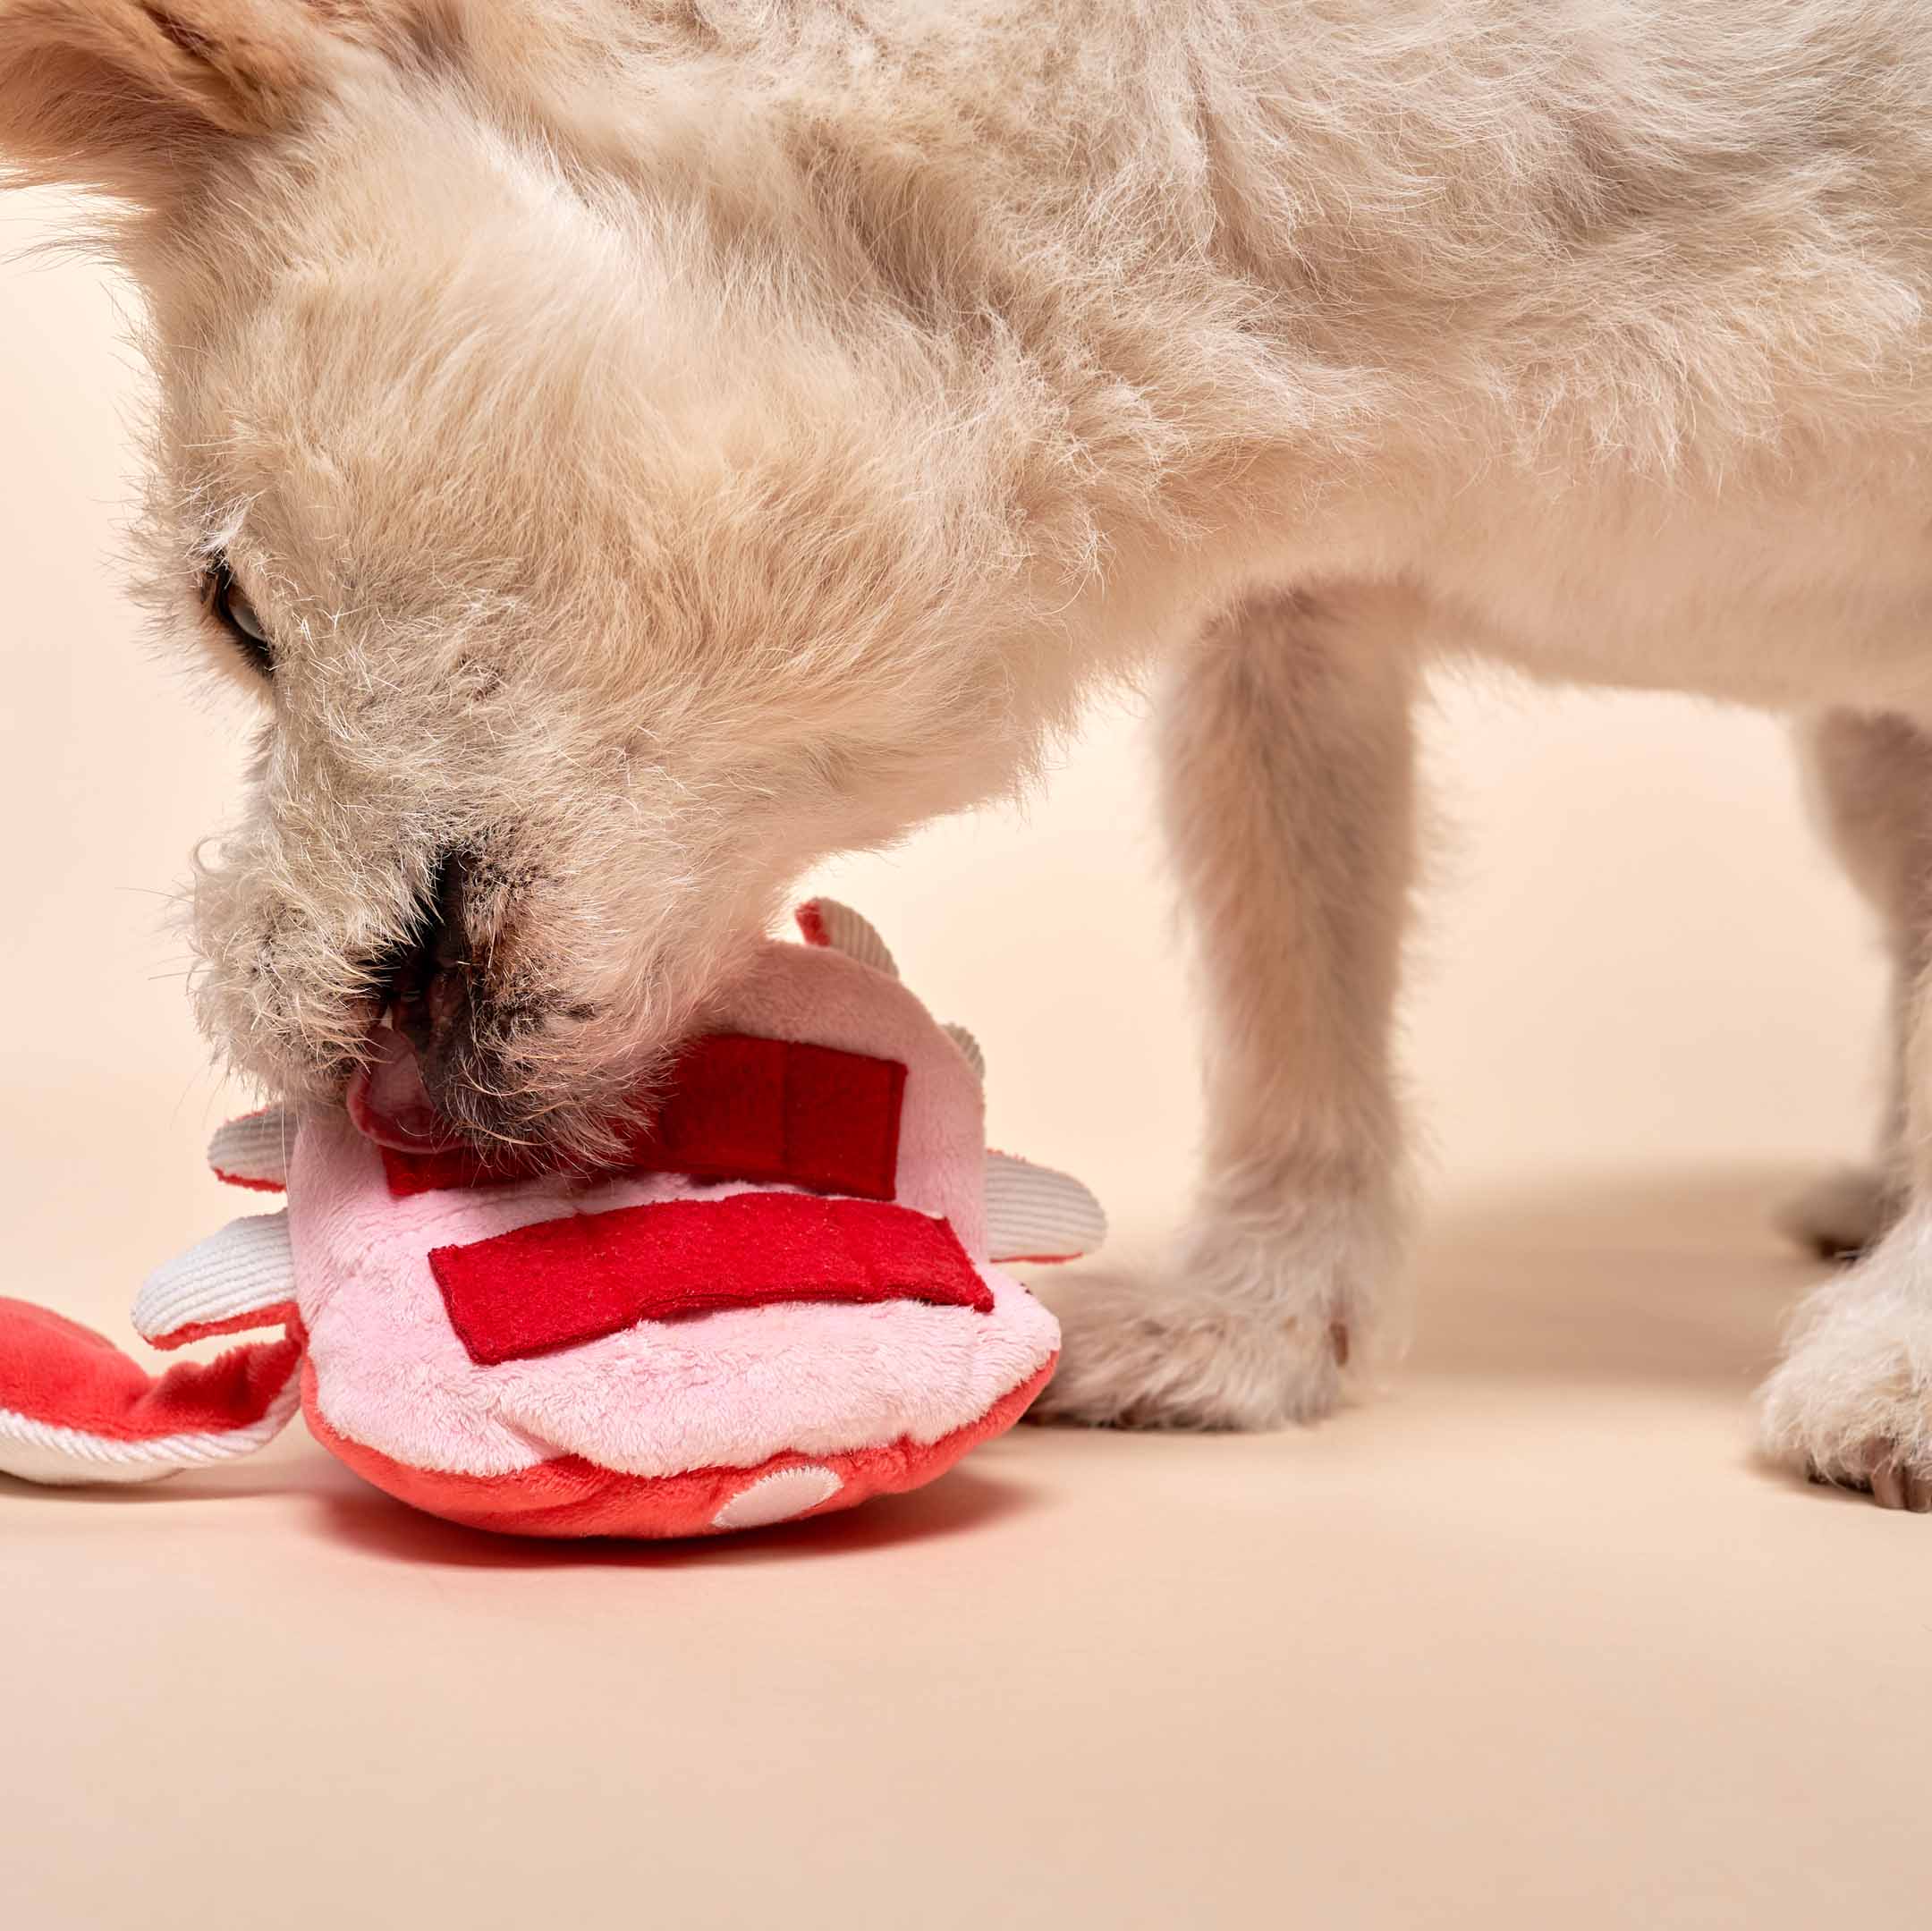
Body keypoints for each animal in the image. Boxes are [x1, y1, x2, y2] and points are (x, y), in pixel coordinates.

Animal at [4, 0, 1932, 1506]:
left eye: (229, 607)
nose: (235, 990)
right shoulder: (1291, 632)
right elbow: (1297, 996)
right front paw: (1255, 1317)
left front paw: (1903, 1362)